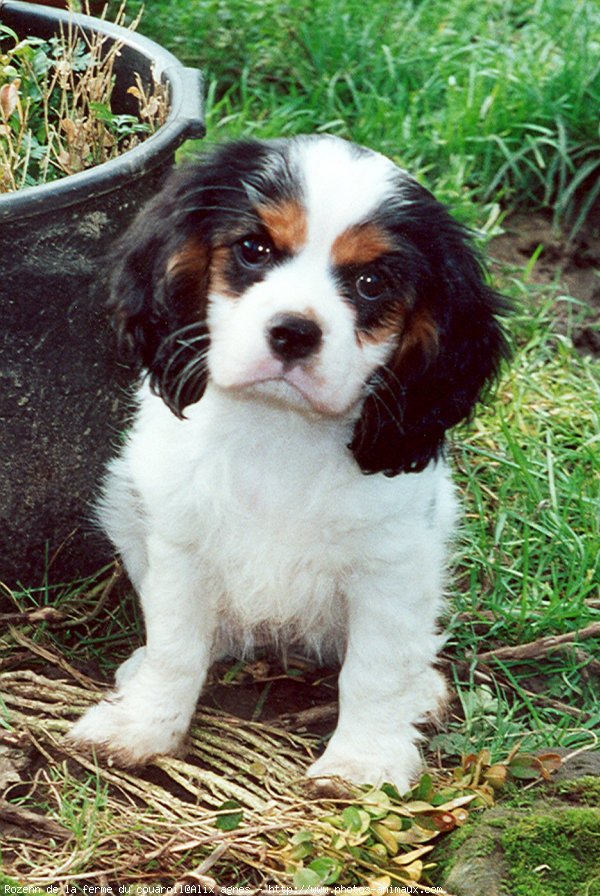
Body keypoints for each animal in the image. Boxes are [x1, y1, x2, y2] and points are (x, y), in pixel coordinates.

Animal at [72, 133, 508, 792]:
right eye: (254, 250)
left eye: (372, 282)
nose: (294, 332)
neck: (279, 430)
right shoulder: (180, 545)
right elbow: (177, 646)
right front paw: (142, 727)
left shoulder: (394, 565)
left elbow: (375, 669)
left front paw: (362, 762)